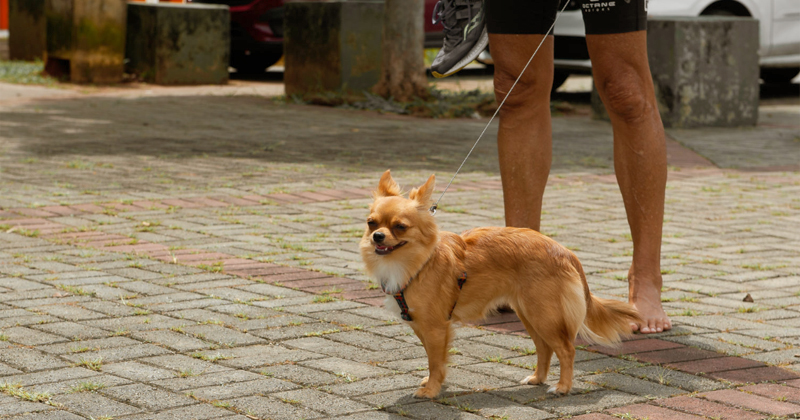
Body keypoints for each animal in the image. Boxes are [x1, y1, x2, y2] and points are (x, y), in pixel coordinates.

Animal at [360, 171, 640, 398]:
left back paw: (562, 387)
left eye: (400, 227)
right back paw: (537, 378)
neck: (417, 263)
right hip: (530, 315)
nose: (377, 236)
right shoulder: (422, 325)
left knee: (566, 350)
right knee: (545, 349)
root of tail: (564, 251)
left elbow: (435, 361)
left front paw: (431, 390)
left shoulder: (436, 327)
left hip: (544, 316)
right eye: (371, 223)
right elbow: (434, 358)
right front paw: (432, 382)